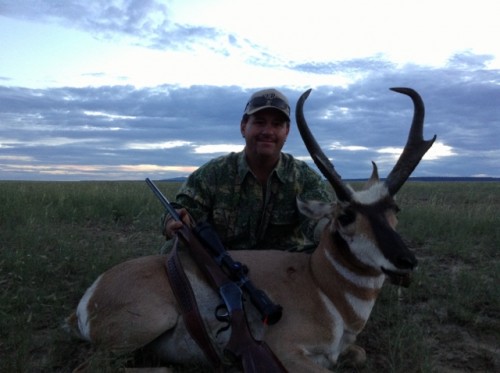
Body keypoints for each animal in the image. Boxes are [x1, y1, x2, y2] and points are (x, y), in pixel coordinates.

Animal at [65, 86, 434, 370]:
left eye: (394, 209)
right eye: (346, 216)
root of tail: (93, 293)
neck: (319, 282)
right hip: (144, 326)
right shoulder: (289, 353)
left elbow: (359, 354)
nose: (406, 261)